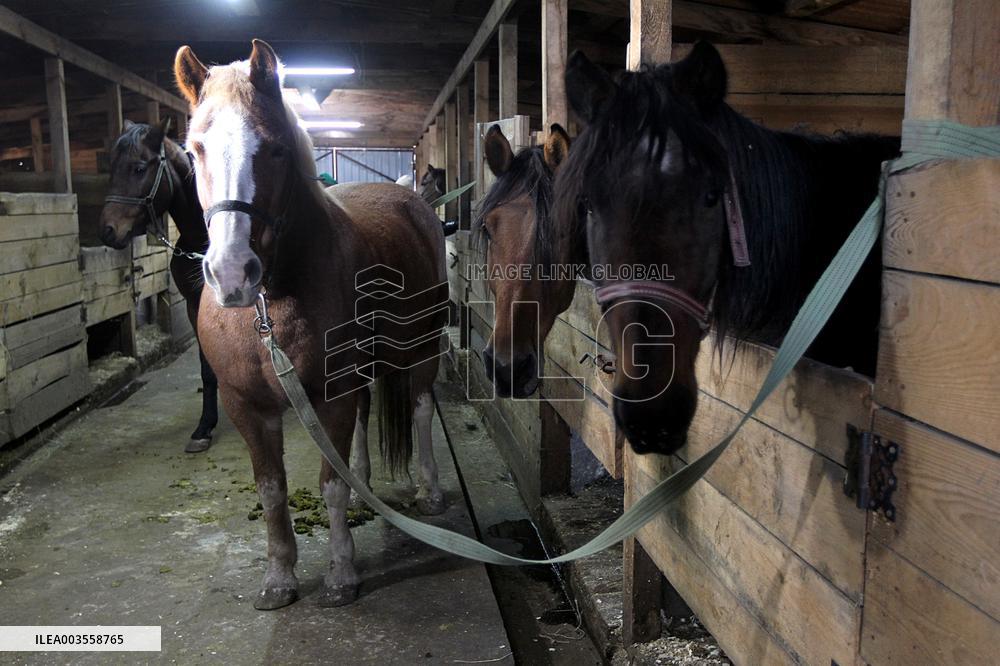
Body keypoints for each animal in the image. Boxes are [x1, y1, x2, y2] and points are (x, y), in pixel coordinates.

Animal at [99, 119, 219, 453]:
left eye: (139, 168)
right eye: (110, 168)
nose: (107, 231)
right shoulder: (194, 306)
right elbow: (208, 366)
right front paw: (204, 427)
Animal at [174, 39, 448, 609]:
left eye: (276, 148)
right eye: (194, 150)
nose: (232, 273)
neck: (270, 306)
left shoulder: (330, 394)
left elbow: (331, 485)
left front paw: (341, 573)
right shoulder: (246, 405)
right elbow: (272, 488)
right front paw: (279, 576)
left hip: (423, 347)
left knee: (420, 408)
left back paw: (430, 490)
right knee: (366, 420)